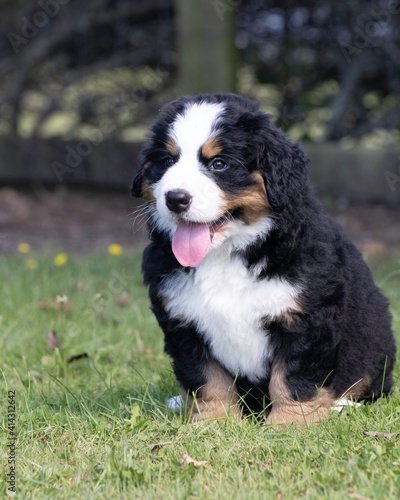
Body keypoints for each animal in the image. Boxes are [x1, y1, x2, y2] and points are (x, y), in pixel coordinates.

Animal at [132, 92, 396, 424]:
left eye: (219, 164)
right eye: (167, 161)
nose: (175, 198)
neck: (227, 252)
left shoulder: (306, 318)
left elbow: (292, 379)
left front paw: (290, 424)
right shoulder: (184, 323)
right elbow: (206, 380)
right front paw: (213, 423)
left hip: (374, 349)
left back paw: (340, 405)